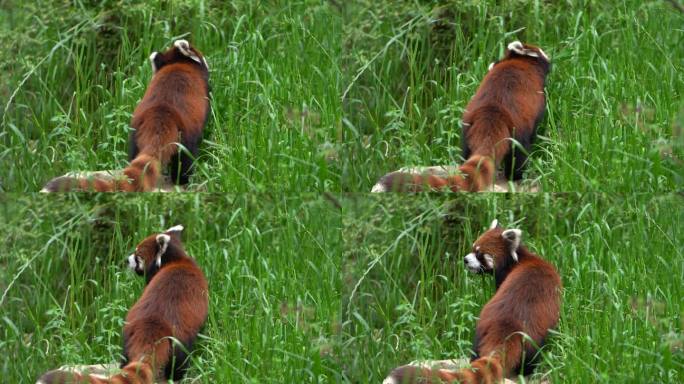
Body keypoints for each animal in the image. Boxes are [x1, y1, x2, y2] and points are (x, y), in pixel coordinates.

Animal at [36, 225, 208, 384]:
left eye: (138, 255)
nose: (127, 259)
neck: (177, 260)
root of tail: (152, 325)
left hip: (127, 332)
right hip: (179, 338)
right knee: (179, 362)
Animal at [42, 39, 210, 192]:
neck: (178, 64)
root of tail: (160, 113)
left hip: (135, 129)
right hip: (185, 131)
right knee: (185, 157)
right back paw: (182, 180)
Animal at [374, 41, 552, 192]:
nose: (549, 55)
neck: (521, 62)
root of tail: (492, 112)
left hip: (467, 125)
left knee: (465, 150)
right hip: (517, 127)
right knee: (519, 152)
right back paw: (516, 177)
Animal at [384, 219, 560, 384]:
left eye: (480, 253)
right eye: (473, 247)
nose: (465, 260)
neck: (520, 259)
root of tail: (507, 328)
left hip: (490, 329)